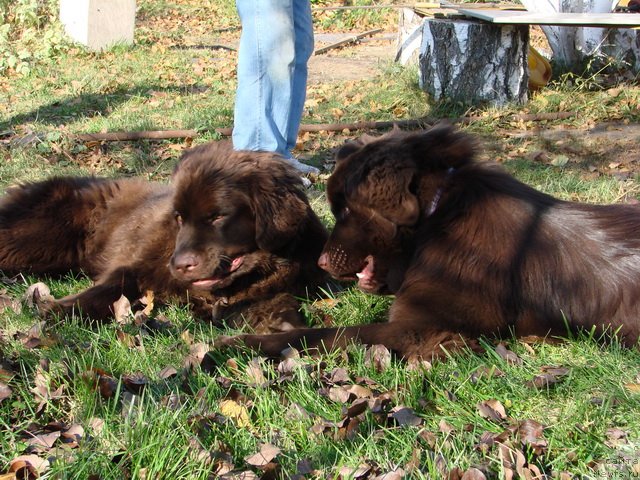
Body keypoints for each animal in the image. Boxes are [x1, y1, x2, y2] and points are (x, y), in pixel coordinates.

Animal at [0, 141, 328, 332]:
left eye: (218, 216)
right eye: (180, 217)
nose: (181, 265)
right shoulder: (133, 268)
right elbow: (106, 290)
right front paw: (56, 310)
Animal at [228, 125, 640, 358]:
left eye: (344, 210)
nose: (323, 263)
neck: (436, 219)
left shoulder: (420, 327)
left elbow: (328, 334)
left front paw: (240, 344)